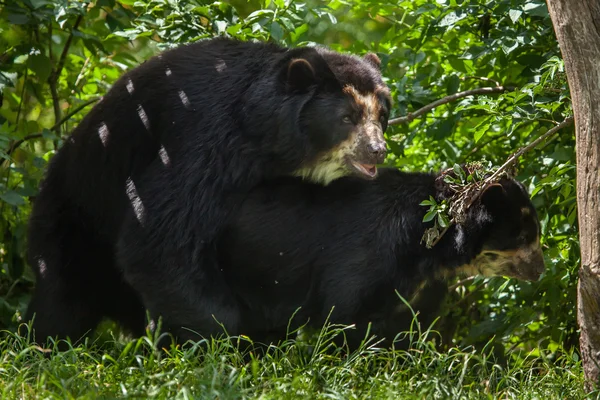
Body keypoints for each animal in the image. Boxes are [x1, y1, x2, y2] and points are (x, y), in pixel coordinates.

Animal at [23, 36, 392, 346]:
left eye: (381, 114)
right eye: (347, 118)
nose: (377, 150)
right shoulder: (201, 140)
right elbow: (159, 239)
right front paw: (219, 343)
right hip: (75, 219)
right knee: (62, 298)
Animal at [213, 168, 548, 350]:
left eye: (536, 233)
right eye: (521, 237)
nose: (541, 270)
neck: (428, 253)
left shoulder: (423, 290)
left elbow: (409, 329)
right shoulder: (366, 261)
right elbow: (345, 319)